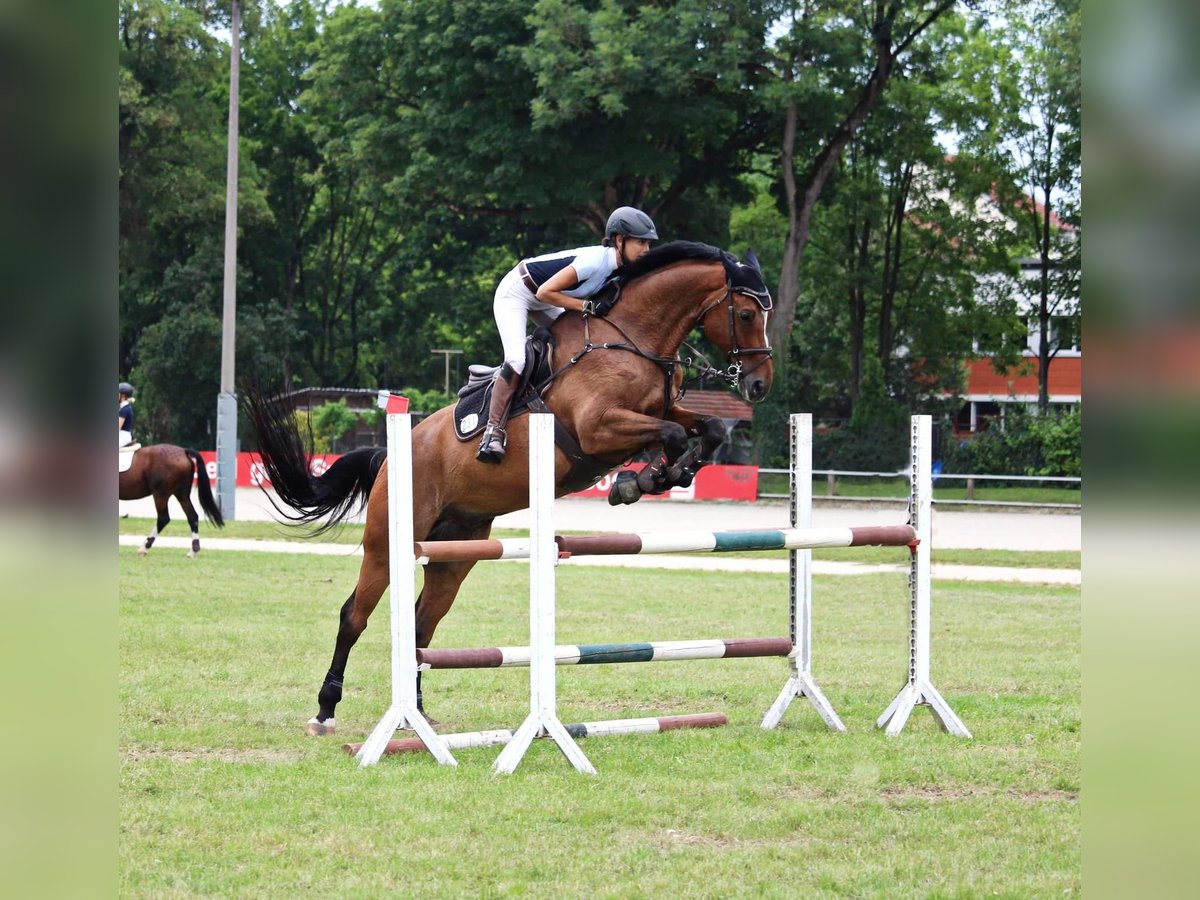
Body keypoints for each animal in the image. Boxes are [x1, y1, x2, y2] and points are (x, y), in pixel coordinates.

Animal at [241, 243, 777, 734]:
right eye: (746, 313)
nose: (759, 386)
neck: (632, 338)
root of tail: (391, 456)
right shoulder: (598, 429)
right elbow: (668, 435)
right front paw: (643, 479)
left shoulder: (659, 412)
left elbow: (706, 428)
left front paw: (660, 476)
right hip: (387, 543)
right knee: (354, 616)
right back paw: (325, 710)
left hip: (456, 551)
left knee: (420, 625)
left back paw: (417, 714)